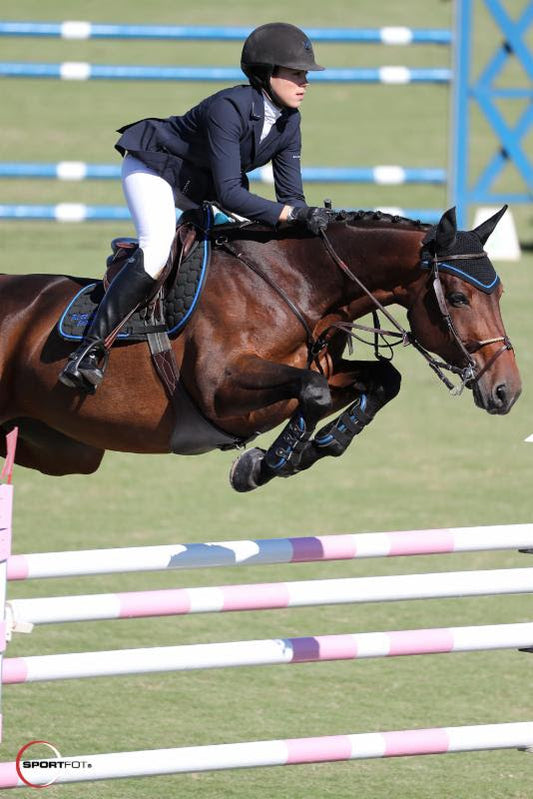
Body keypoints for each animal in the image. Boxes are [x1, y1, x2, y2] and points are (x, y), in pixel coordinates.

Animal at [0, 205, 520, 494]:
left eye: (500, 293)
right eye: (458, 298)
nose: (507, 391)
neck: (296, 286)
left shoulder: (322, 370)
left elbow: (380, 381)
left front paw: (320, 446)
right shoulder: (220, 389)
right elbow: (312, 392)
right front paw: (263, 465)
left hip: (63, 451)